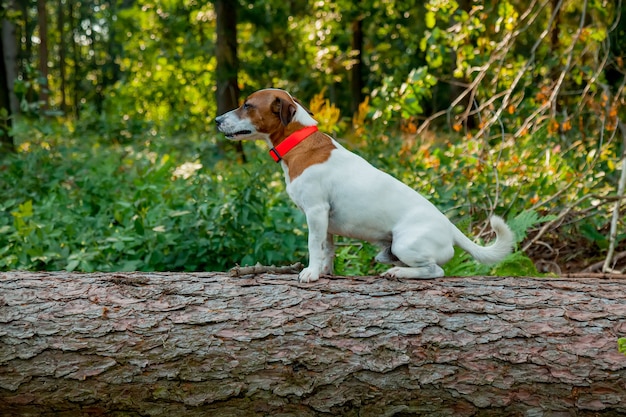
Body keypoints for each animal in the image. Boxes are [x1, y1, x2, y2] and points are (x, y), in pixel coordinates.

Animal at [214, 89, 512, 282]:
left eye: (247, 105)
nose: (216, 120)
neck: (299, 142)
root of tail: (451, 229)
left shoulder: (316, 212)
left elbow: (313, 246)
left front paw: (311, 273)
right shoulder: (326, 223)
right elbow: (327, 249)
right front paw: (325, 272)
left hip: (405, 244)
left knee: (435, 271)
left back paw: (399, 273)